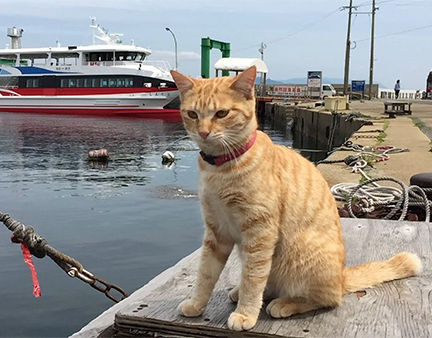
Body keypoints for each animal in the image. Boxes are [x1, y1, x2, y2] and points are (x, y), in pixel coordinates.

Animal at [169, 67, 422, 332]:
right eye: (192, 114)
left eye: (221, 113)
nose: (203, 132)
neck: (221, 167)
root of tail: (341, 277)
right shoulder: (216, 232)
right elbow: (206, 274)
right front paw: (197, 304)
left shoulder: (260, 233)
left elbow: (252, 278)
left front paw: (246, 313)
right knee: (270, 284)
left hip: (301, 255)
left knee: (328, 299)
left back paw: (285, 303)